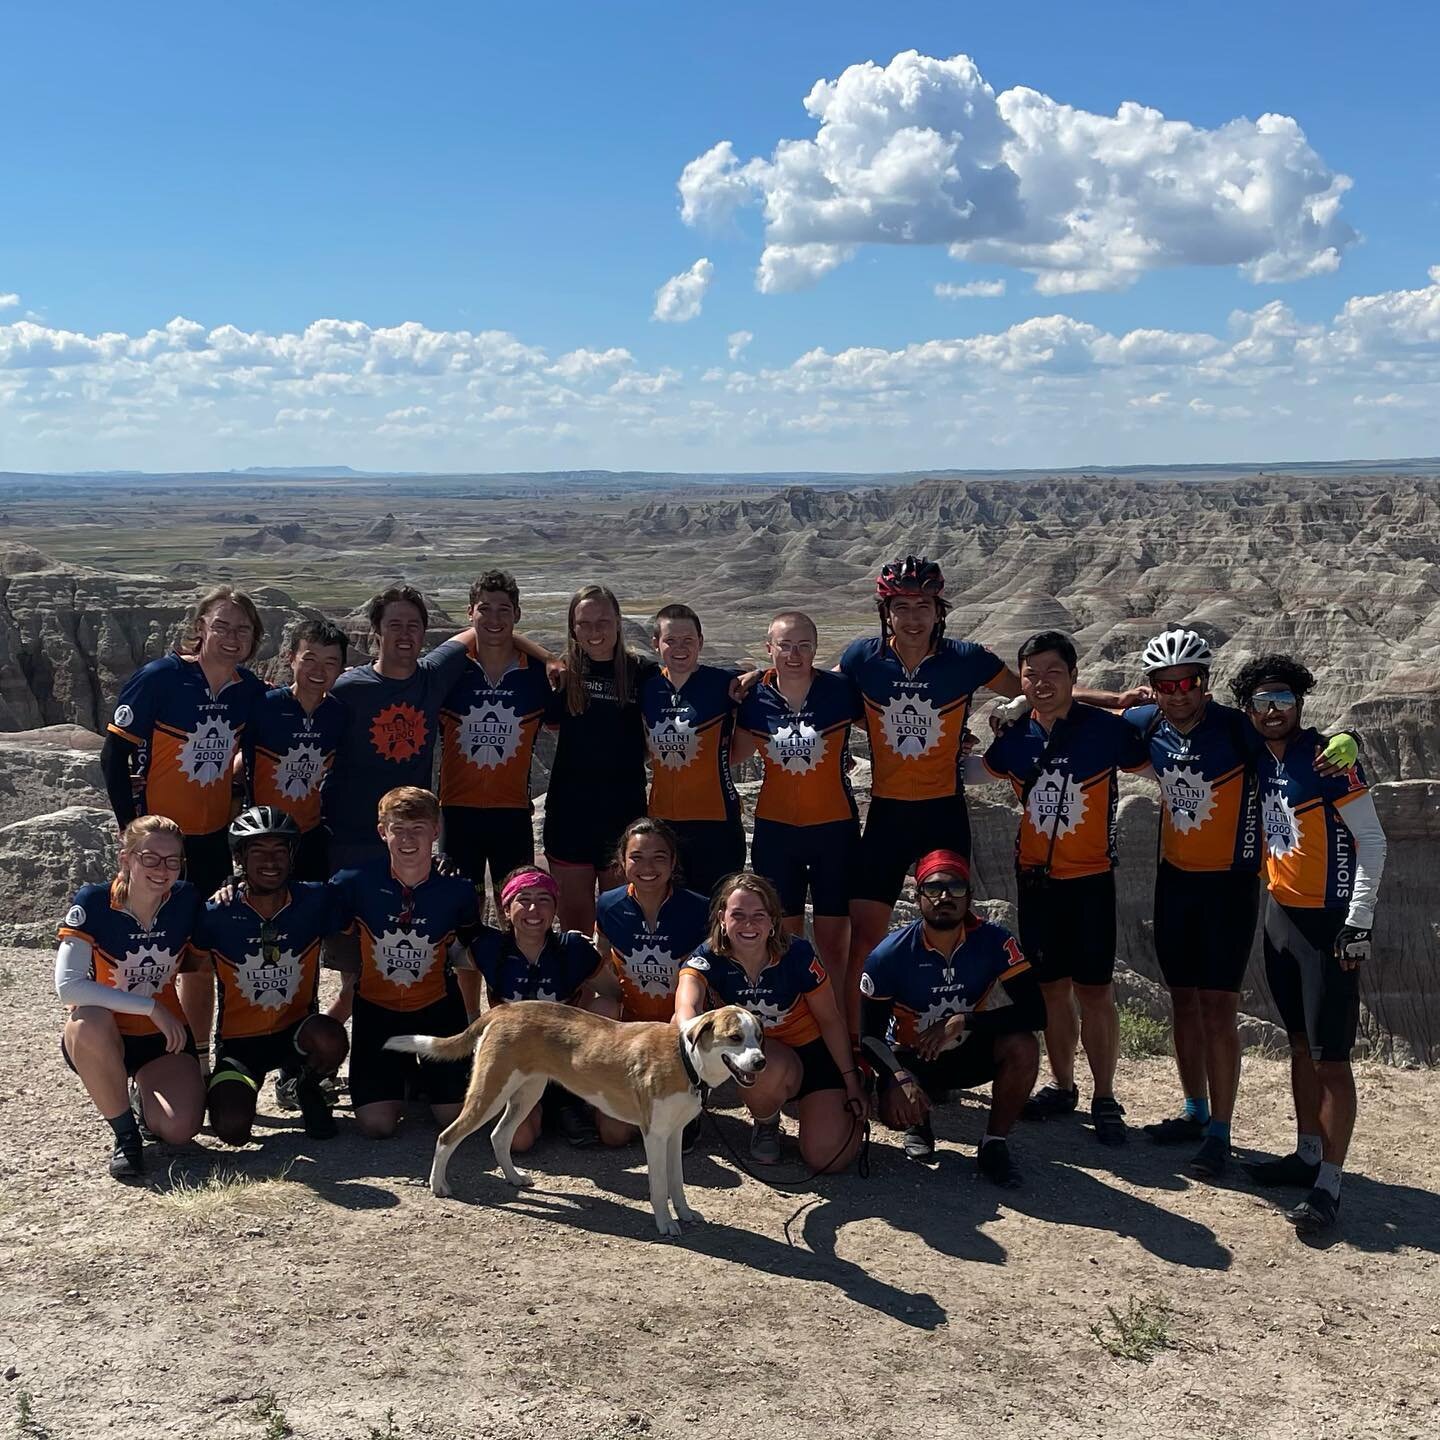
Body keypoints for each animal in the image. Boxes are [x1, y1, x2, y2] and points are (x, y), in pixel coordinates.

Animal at [383, 1002, 766, 1238]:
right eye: (735, 1038)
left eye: (759, 1037)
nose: (761, 1061)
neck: (685, 1059)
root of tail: (505, 1008)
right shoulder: (654, 1136)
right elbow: (659, 1188)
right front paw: (666, 1224)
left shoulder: (674, 1135)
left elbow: (677, 1184)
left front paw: (684, 1214)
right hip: (489, 1094)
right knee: (447, 1137)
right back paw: (439, 1185)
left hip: (527, 1093)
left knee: (499, 1136)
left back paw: (514, 1178)